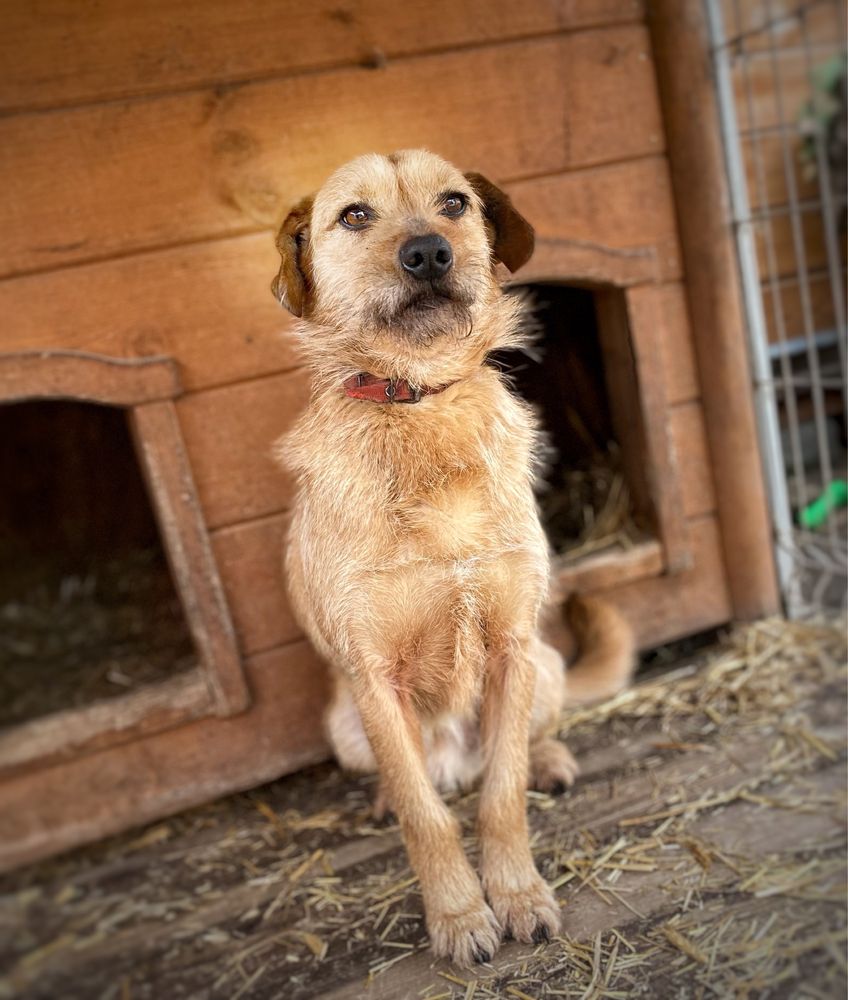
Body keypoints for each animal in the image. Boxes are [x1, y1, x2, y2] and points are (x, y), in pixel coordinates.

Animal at [274, 152, 632, 964]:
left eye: (454, 204)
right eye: (354, 215)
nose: (429, 253)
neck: (420, 401)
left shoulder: (511, 647)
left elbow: (503, 798)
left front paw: (518, 895)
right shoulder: (375, 679)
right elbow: (426, 817)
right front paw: (460, 914)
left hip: (545, 665)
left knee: (521, 746)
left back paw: (550, 761)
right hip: (345, 727)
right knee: (421, 785)